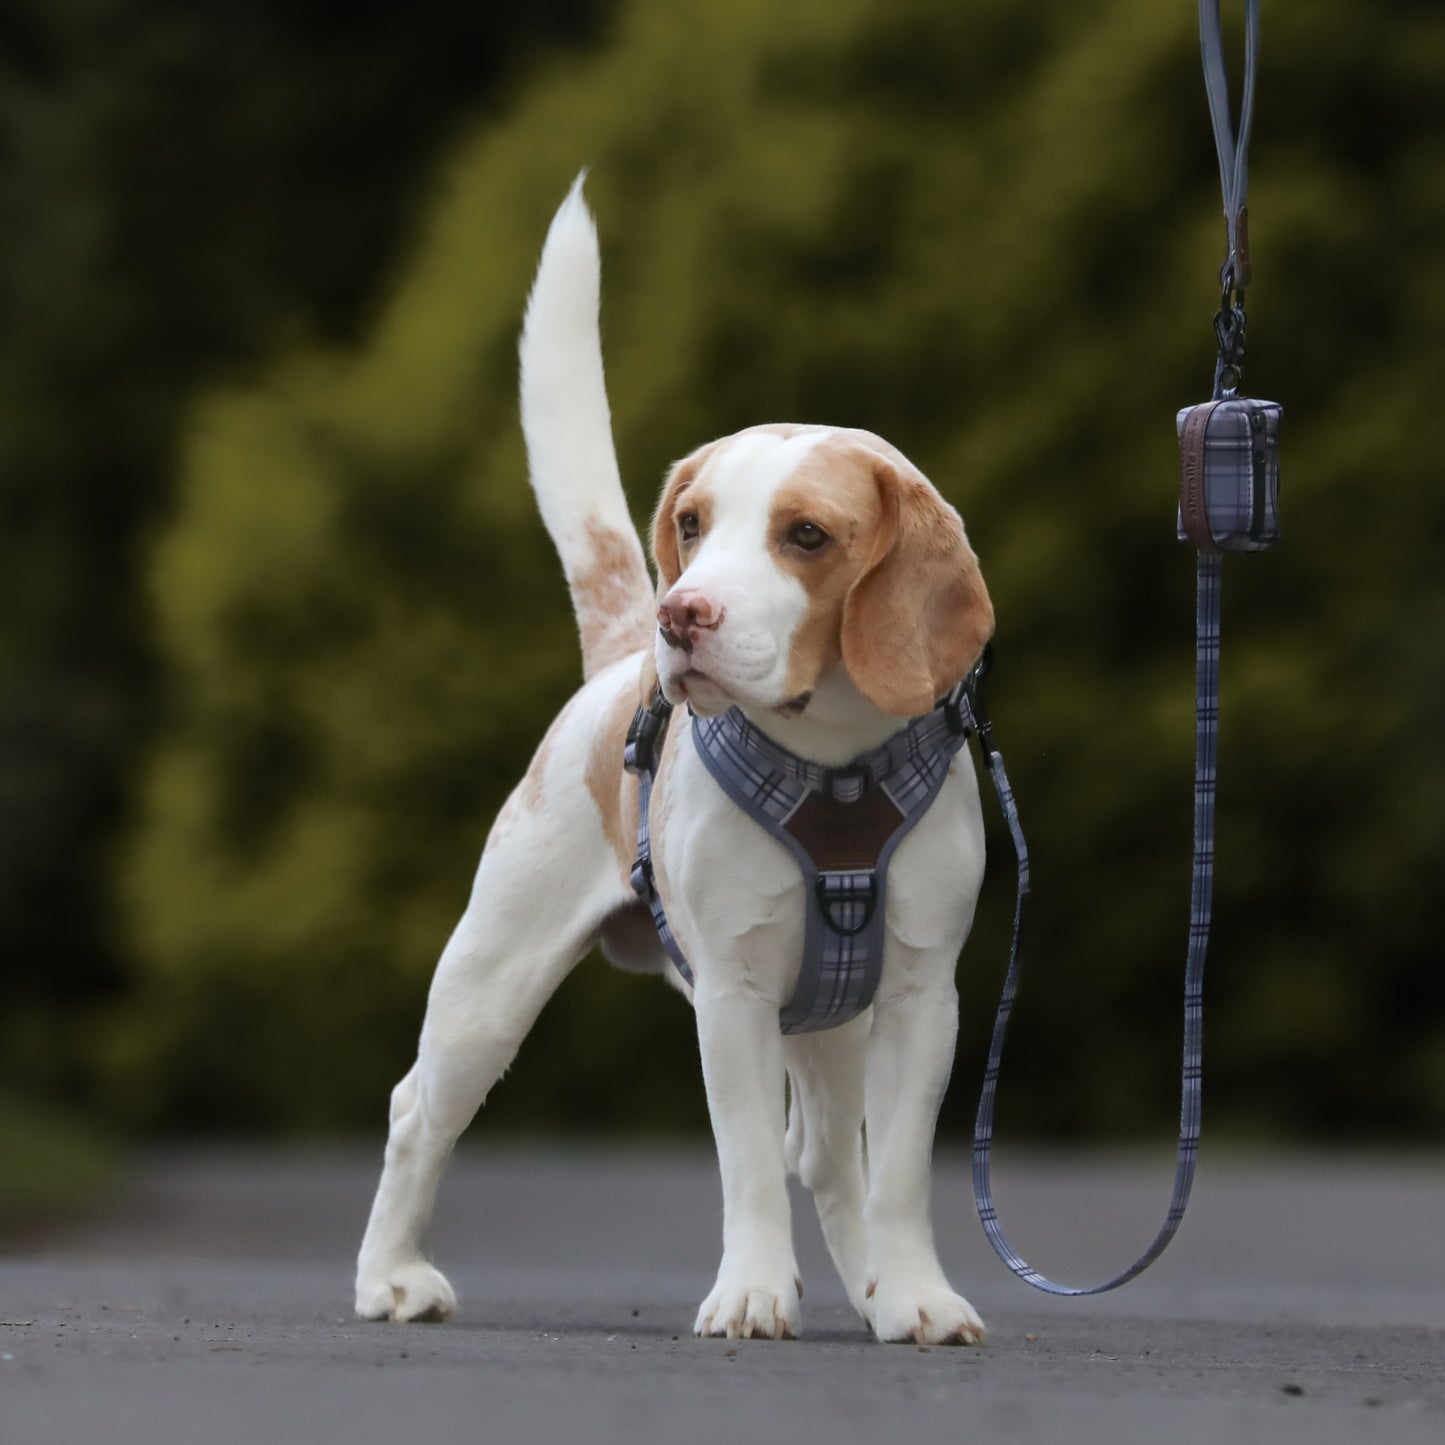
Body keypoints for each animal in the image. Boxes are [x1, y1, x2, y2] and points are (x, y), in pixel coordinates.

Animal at [355, 177, 999, 1340]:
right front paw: (750, 1291)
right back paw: (390, 1276)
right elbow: (744, 1163)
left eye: (806, 535)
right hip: (489, 983)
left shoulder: (923, 997)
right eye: (692, 523)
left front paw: (916, 1295)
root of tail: (615, 656)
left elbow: (892, 1174)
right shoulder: (732, 997)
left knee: (828, 1156)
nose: (680, 612)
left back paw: (872, 1287)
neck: (832, 765)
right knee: (416, 1107)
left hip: (831, 1022)